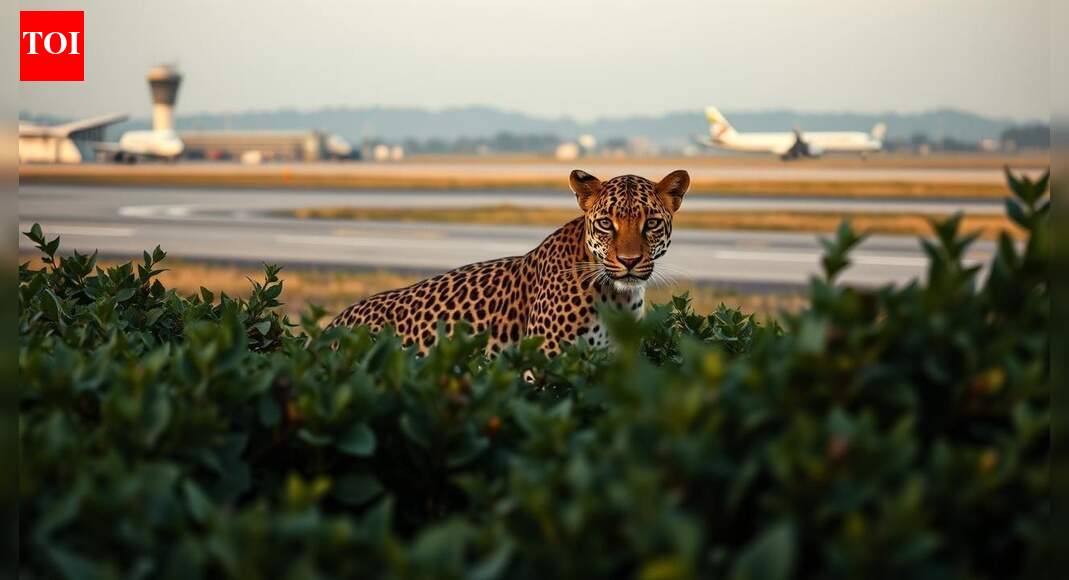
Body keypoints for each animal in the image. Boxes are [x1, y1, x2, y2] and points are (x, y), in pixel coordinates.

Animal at [327, 169, 690, 356]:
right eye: (605, 224)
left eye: (651, 224)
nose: (629, 261)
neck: (617, 296)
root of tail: (331, 324)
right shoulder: (544, 365)